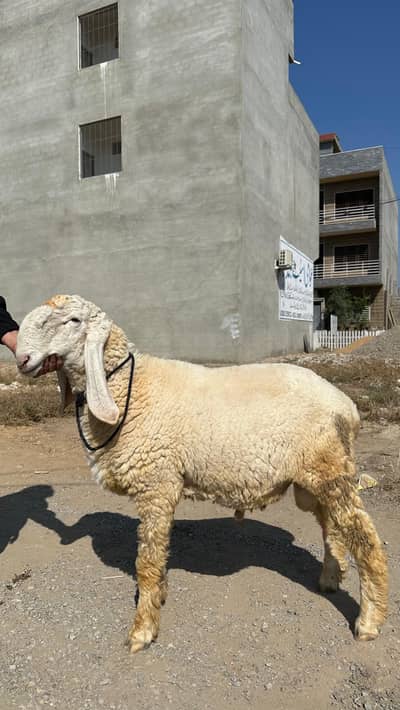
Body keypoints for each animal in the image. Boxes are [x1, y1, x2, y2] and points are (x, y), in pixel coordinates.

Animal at [16, 294, 388, 653]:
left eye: (73, 320)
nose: (21, 358)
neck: (129, 388)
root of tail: (347, 406)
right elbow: (158, 558)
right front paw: (159, 597)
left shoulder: (157, 484)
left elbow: (147, 562)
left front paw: (142, 631)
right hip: (314, 478)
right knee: (332, 527)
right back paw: (330, 579)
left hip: (329, 469)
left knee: (365, 540)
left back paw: (369, 621)